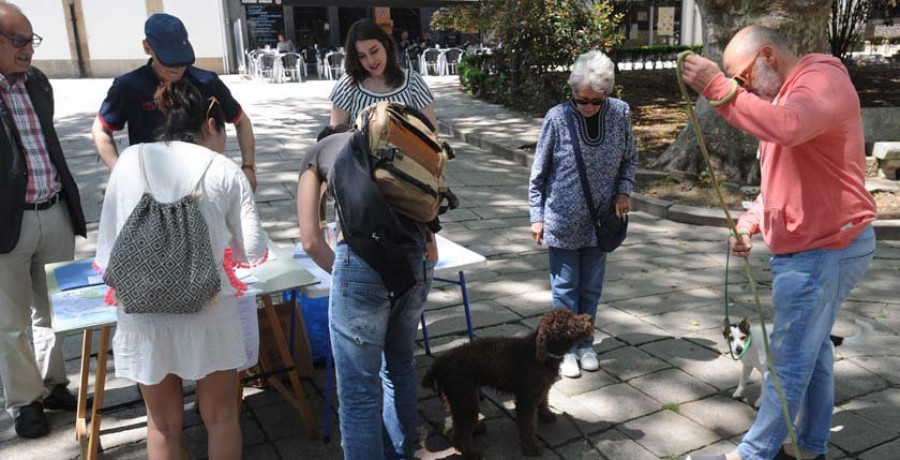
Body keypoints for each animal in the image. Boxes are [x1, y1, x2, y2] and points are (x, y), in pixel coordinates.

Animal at [424, 310, 596, 456]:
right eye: (572, 322)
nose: (590, 317)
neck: (540, 353)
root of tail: (439, 362)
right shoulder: (526, 399)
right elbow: (527, 425)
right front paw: (531, 448)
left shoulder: (542, 388)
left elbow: (543, 402)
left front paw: (546, 416)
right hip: (465, 396)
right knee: (460, 433)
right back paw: (471, 452)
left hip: (460, 397)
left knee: (458, 420)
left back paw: (476, 428)